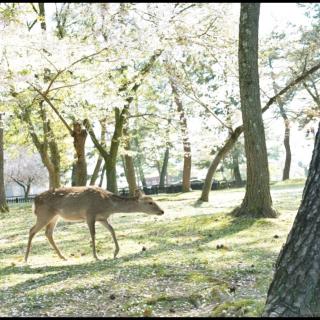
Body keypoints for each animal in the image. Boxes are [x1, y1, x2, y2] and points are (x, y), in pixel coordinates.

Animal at [24, 185, 165, 262]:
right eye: (150, 202)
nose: (162, 211)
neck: (107, 204)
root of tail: (34, 201)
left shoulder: (102, 218)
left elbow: (112, 230)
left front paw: (116, 253)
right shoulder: (90, 214)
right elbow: (93, 234)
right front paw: (96, 256)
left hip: (55, 216)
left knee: (48, 233)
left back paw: (62, 256)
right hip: (44, 214)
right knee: (32, 230)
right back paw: (25, 258)